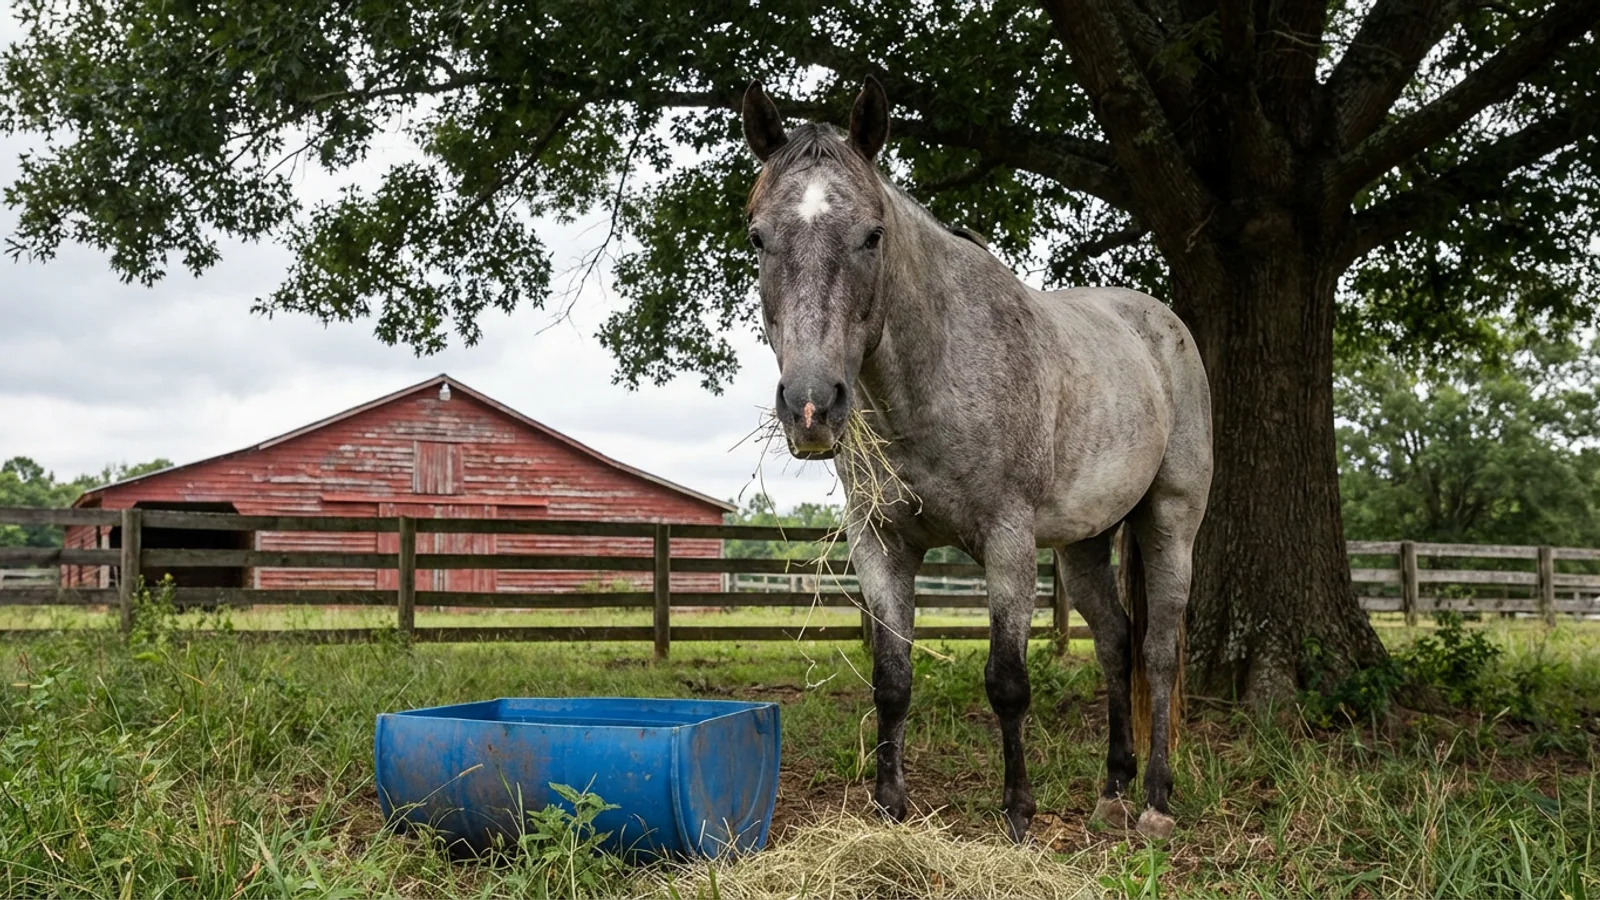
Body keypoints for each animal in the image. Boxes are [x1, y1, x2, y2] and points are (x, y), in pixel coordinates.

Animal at [740, 76, 1213, 841]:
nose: (811, 406)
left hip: (1169, 521)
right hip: (1083, 545)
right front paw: (888, 807)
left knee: (1158, 652)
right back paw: (1113, 789)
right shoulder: (881, 543)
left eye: (872, 235)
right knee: (1115, 642)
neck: (933, 376)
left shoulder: (1006, 540)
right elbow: (892, 680)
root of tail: (1162, 325)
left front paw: (1018, 813)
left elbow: (1007, 682)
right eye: (758, 237)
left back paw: (1155, 802)